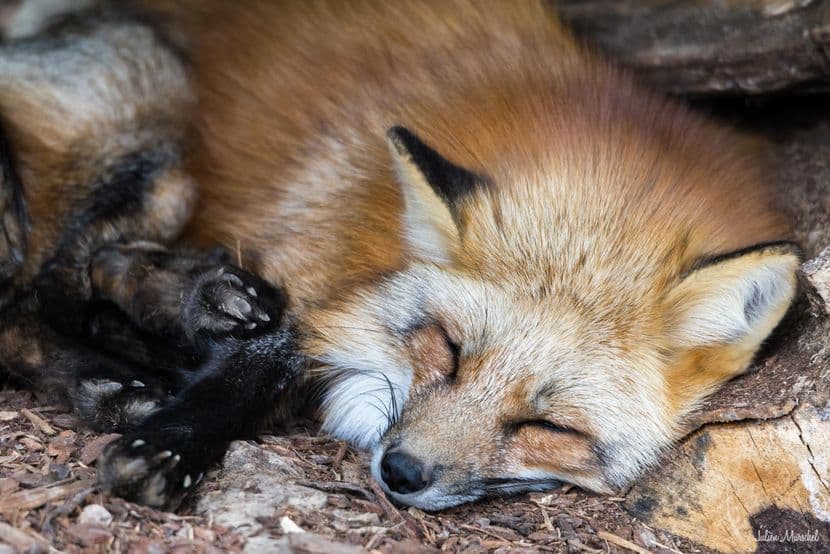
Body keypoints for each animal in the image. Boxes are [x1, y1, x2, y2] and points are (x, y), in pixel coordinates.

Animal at [0, 0, 801, 511]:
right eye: (448, 349)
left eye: (550, 429)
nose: (403, 470)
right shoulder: (312, 240)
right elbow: (269, 353)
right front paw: (174, 444)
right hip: (154, 138)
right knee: (38, 289)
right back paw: (122, 363)